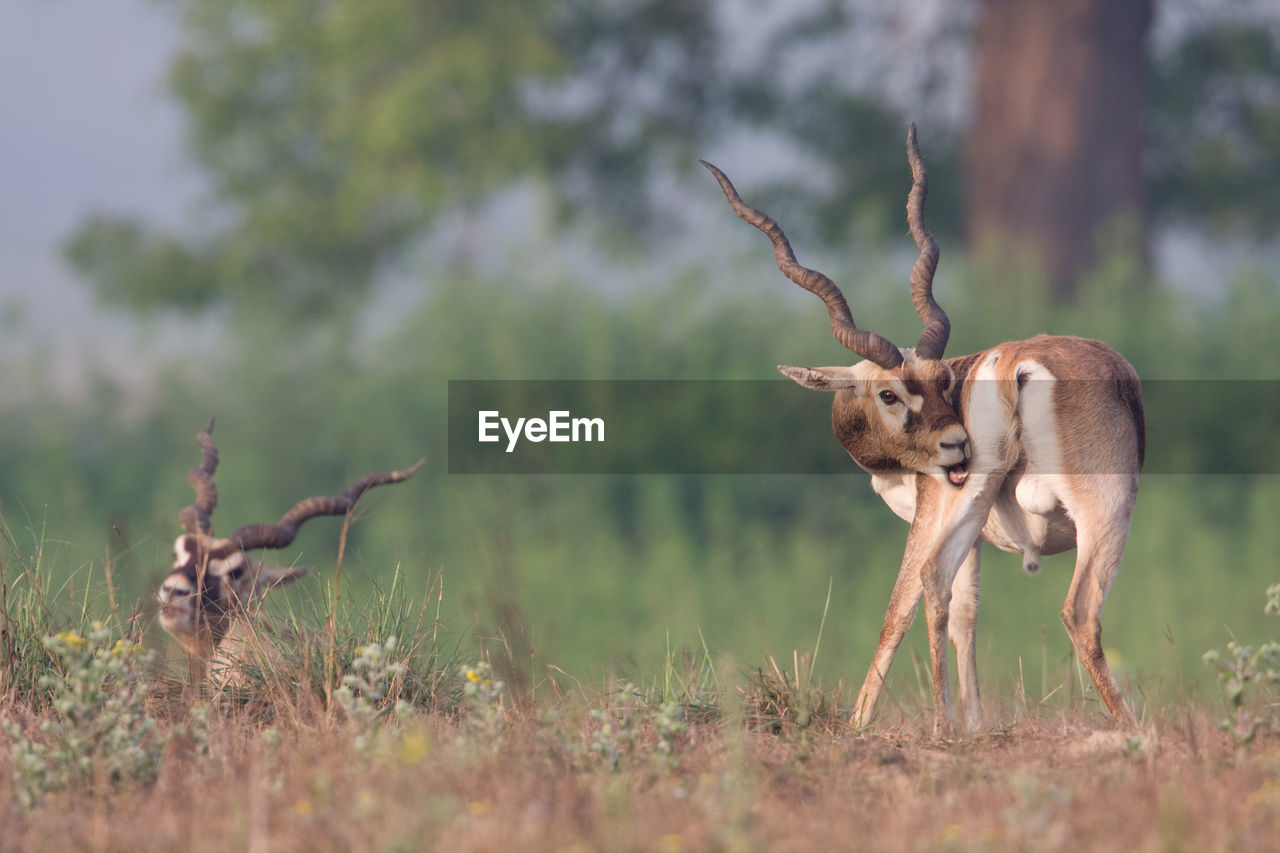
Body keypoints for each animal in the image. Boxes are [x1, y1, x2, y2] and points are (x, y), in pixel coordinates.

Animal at [706, 122, 1146, 732]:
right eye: (889, 392)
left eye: (943, 381)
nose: (954, 443)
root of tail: (1015, 365)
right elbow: (943, 611)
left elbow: (935, 611)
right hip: (1086, 507)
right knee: (1064, 608)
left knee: (942, 585)